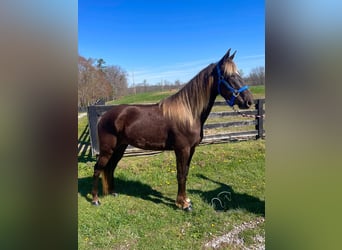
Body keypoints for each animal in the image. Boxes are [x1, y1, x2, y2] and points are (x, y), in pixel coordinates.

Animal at [91, 48, 254, 211]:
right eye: (229, 76)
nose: (249, 101)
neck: (189, 113)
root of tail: (104, 116)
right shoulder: (182, 149)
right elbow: (180, 175)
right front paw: (183, 204)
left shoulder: (191, 149)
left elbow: (185, 173)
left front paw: (185, 200)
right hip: (107, 149)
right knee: (98, 169)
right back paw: (95, 200)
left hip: (120, 147)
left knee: (110, 167)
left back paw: (112, 192)